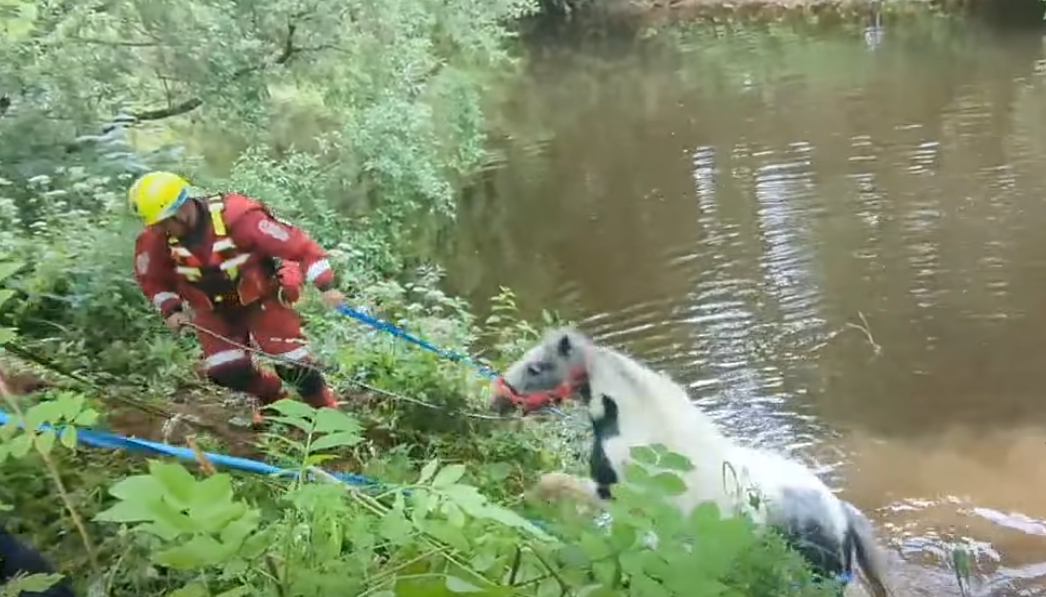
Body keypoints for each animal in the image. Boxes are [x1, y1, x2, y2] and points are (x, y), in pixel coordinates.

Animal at [493, 326, 893, 597]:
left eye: (537, 367)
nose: (496, 401)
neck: (640, 428)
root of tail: (841, 514)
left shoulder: (611, 494)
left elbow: (553, 482)